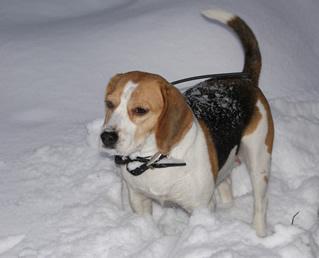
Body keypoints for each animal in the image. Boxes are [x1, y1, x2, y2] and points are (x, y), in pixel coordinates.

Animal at [100, 10, 276, 237]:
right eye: (109, 103)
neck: (155, 159)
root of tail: (245, 79)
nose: (107, 136)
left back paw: (259, 234)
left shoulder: (201, 208)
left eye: (140, 110)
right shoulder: (138, 199)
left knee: (260, 204)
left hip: (259, 160)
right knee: (226, 183)